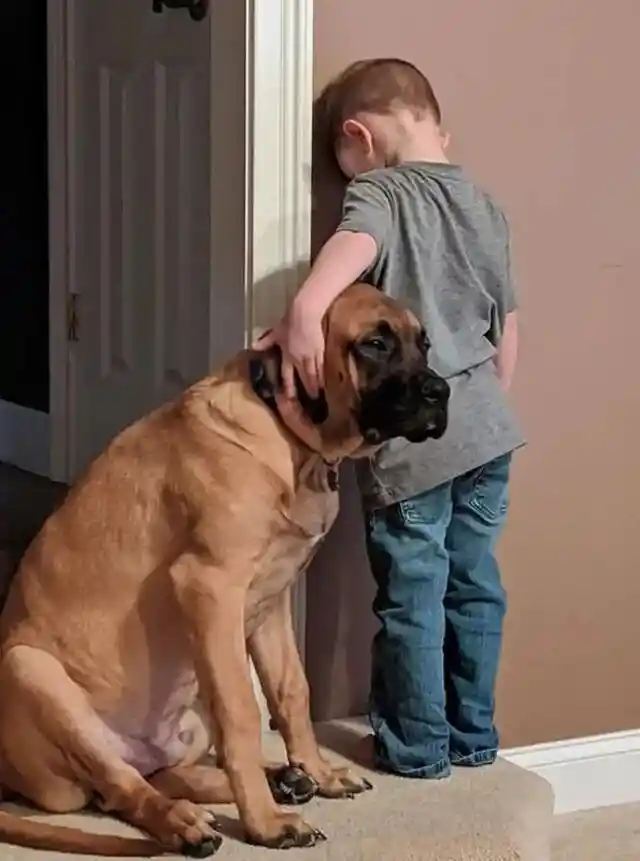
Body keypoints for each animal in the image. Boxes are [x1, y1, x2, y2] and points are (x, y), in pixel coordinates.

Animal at [0, 282, 450, 852]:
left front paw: (319, 772)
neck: (290, 440)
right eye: (374, 343)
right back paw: (187, 823)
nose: (442, 393)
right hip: (30, 671)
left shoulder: (273, 599)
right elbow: (240, 711)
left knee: (160, 775)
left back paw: (286, 779)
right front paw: (265, 824)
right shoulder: (209, 585)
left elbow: (291, 690)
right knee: (124, 789)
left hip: (182, 721)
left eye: (424, 344)